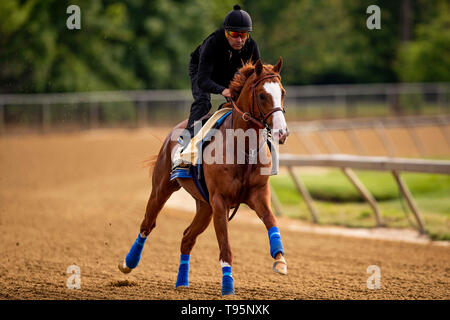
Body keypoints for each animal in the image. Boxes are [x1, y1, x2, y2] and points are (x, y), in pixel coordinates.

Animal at [118, 57, 288, 296]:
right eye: (263, 95)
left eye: (282, 92)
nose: (282, 133)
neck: (242, 148)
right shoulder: (220, 201)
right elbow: (225, 247)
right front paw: (228, 286)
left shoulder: (258, 194)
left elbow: (272, 221)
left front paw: (280, 260)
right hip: (162, 189)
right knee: (147, 225)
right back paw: (128, 262)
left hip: (204, 207)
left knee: (187, 237)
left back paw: (182, 281)